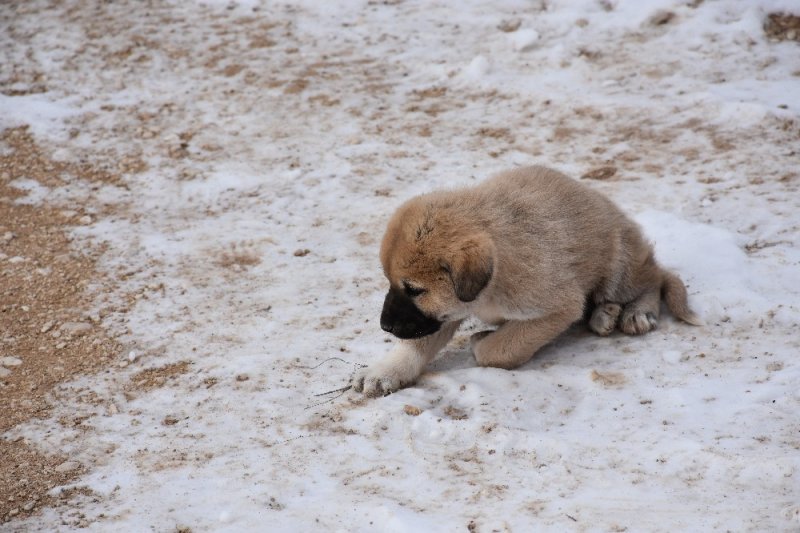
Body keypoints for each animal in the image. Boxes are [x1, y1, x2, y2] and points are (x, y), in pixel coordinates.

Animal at [352, 165, 700, 394]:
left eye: (415, 290)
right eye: (392, 283)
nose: (385, 326)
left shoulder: (555, 307)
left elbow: (501, 349)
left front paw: (482, 341)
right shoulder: (439, 315)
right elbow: (415, 345)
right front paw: (387, 370)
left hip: (618, 263)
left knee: (654, 277)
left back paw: (636, 312)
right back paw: (605, 313)